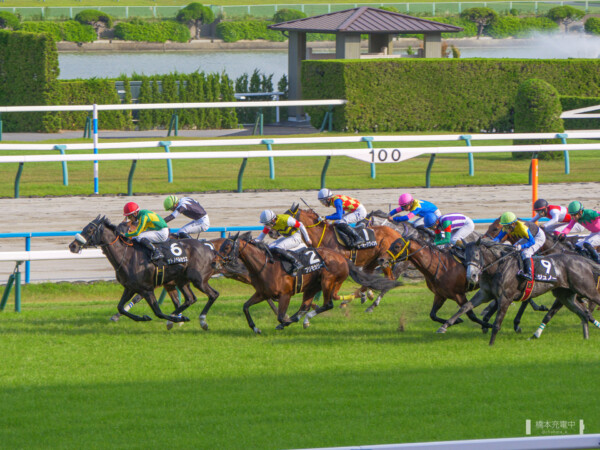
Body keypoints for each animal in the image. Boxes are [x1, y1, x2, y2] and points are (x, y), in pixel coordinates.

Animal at [69, 215, 218, 324]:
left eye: (89, 230)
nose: (72, 246)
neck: (126, 256)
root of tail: (209, 249)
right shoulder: (130, 287)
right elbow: (120, 307)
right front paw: (142, 318)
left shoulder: (146, 289)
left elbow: (158, 312)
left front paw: (170, 318)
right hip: (182, 281)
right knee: (190, 299)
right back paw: (180, 315)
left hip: (198, 280)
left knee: (213, 294)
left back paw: (200, 319)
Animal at [218, 232, 400, 334]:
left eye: (226, 247)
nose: (216, 262)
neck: (265, 266)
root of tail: (342, 258)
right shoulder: (262, 293)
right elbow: (245, 307)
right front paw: (256, 328)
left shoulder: (285, 295)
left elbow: (280, 317)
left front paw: (286, 322)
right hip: (312, 286)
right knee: (307, 305)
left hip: (327, 280)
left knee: (328, 304)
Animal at [436, 239, 600, 344]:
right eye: (465, 256)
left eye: (476, 255)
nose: (472, 276)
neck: (497, 267)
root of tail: (582, 261)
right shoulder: (485, 294)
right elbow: (465, 307)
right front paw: (444, 326)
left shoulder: (505, 297)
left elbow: (497, 322)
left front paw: (491, 344)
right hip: (564, 295)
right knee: (583, 314)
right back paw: (585, 338)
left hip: (586, 290)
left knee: (589, 307)